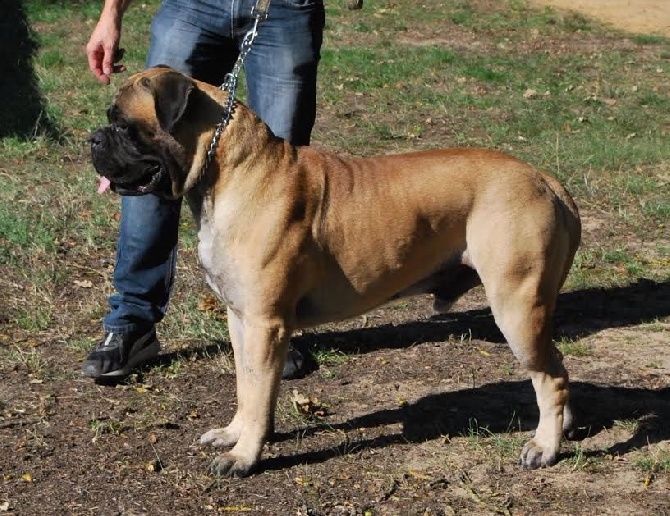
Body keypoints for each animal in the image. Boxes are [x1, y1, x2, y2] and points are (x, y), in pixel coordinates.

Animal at [90, 66, 584, 478]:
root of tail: (545, 179)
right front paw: (234, 434)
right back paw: (559, 428)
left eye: (124, 126)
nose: (93, 137)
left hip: (517, 307)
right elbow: (246, 386)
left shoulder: (266, 325)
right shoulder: (240, 319)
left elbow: (260, 389)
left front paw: (245, 456)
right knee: (555, 370)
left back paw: (544, 446)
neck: (228, 171)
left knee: (551, 375)